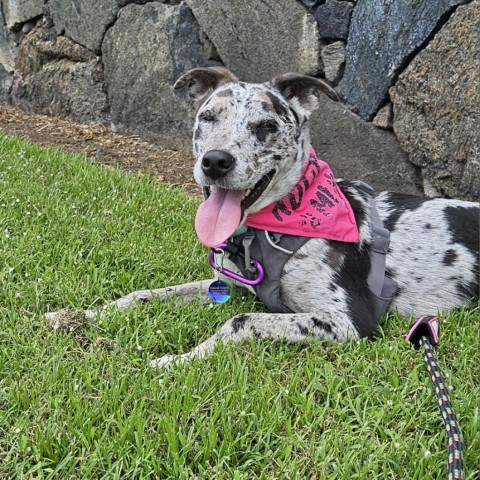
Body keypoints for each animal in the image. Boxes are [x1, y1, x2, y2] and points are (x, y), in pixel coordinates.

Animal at [47, 66, 478, 368]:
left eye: (266, 126)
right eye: (208, 117)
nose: (215, 162)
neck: (269, 231)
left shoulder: (349, 320)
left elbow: (239, 321)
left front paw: (177, 359)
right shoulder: (229, 284)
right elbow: (144, 295)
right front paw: (81, 315)